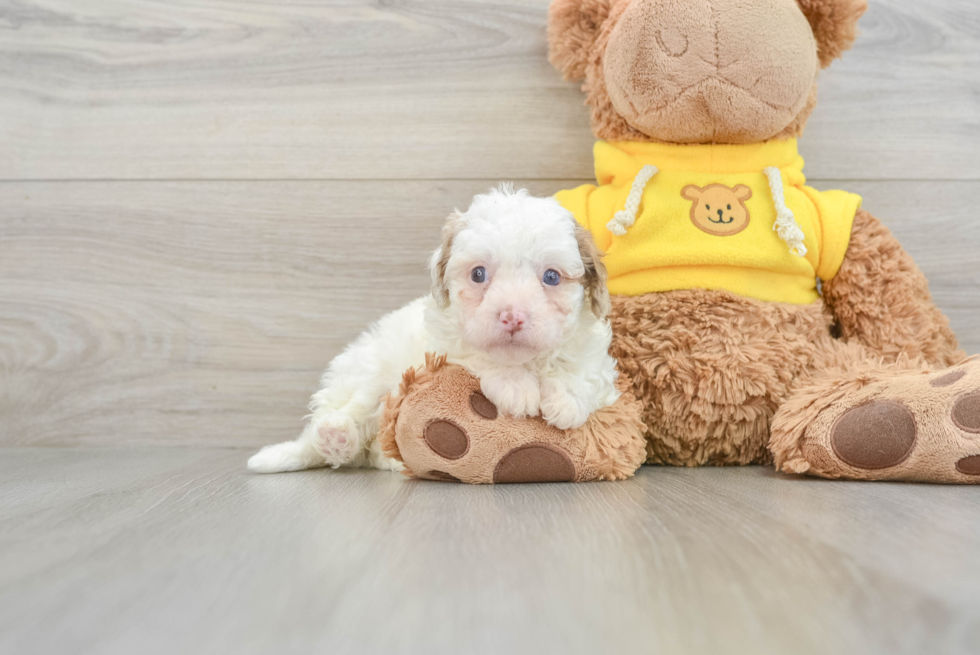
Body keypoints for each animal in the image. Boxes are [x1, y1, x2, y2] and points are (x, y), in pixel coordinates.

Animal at [249, 187, 616, 474]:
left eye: (551, 277)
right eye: (478, 274)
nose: (512, 316)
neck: (526, 361)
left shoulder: (597, 358)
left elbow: (581, 367)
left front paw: (566, 397)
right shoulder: (442, 343)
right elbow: (477, 354)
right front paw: (516, 386)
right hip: (370, 373)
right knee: (347, 423)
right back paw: (335, 437)